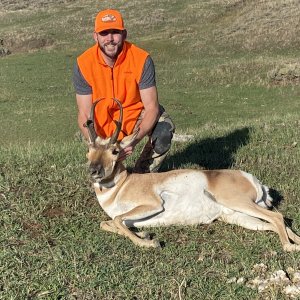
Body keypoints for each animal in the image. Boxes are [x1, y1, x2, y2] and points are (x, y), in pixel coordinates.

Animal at [84, 98, 300, 251]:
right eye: (89, 149)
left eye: (115, 151)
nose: (94, 170)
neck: (122, 185)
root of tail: (250, 178)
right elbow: (107, 222)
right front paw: (144, 235)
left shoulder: (153, 204)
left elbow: (117, 219)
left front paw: (149, 242)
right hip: (239, 216)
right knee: (276, 222)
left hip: (237, 202)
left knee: (277, 218)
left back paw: (288, 247)